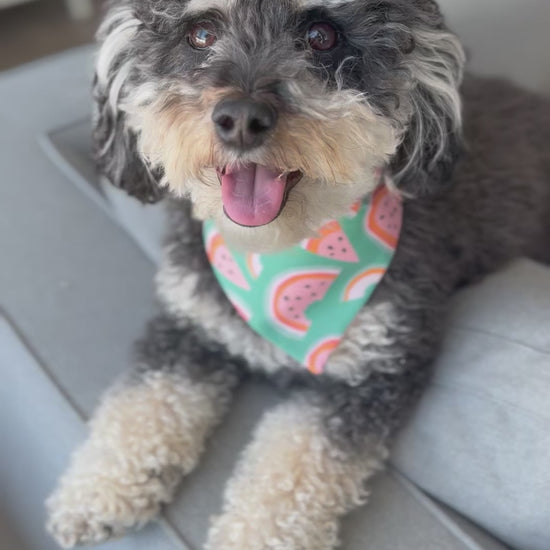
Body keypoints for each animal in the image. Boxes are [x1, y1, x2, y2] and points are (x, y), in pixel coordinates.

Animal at [46, 0, 550, 548]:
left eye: (322, 35)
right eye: (200, 33)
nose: (241, 118)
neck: (277, 253)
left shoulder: (369, 375)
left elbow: (294, 470)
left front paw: (251, 536)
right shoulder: (188, 326)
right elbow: (142, 404)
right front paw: (96, 488)